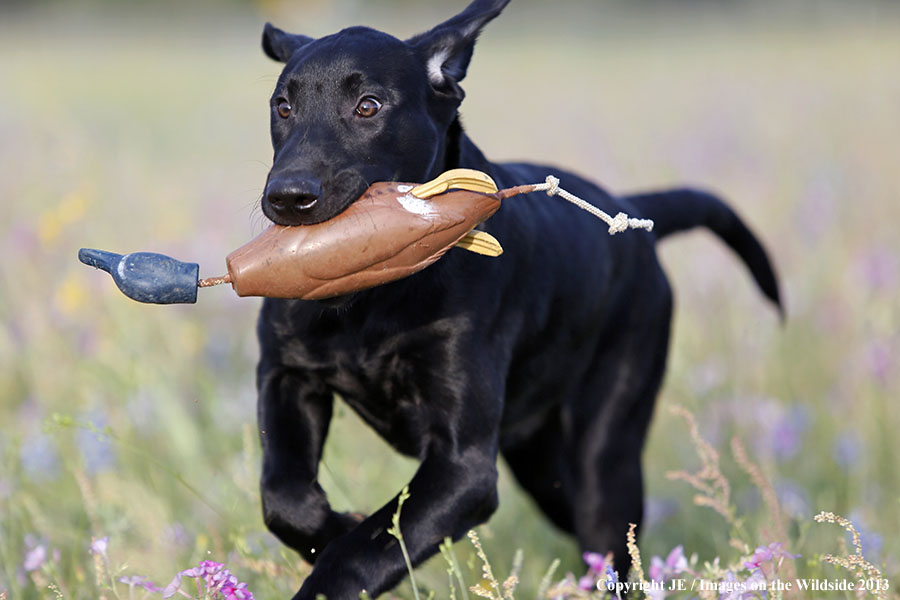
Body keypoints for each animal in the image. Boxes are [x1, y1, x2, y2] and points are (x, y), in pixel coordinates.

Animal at [253, 2, 780, 596]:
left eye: (369, 105)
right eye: (283, 106)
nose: (288, 197)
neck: (371, 302)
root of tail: (633, 213)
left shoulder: (464, 467)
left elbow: (365, 550)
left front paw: (335, 555)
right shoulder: (285, 374)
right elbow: (284, 496)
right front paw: (332, 524)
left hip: (605, 449)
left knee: (613, 547)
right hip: (543, 464)